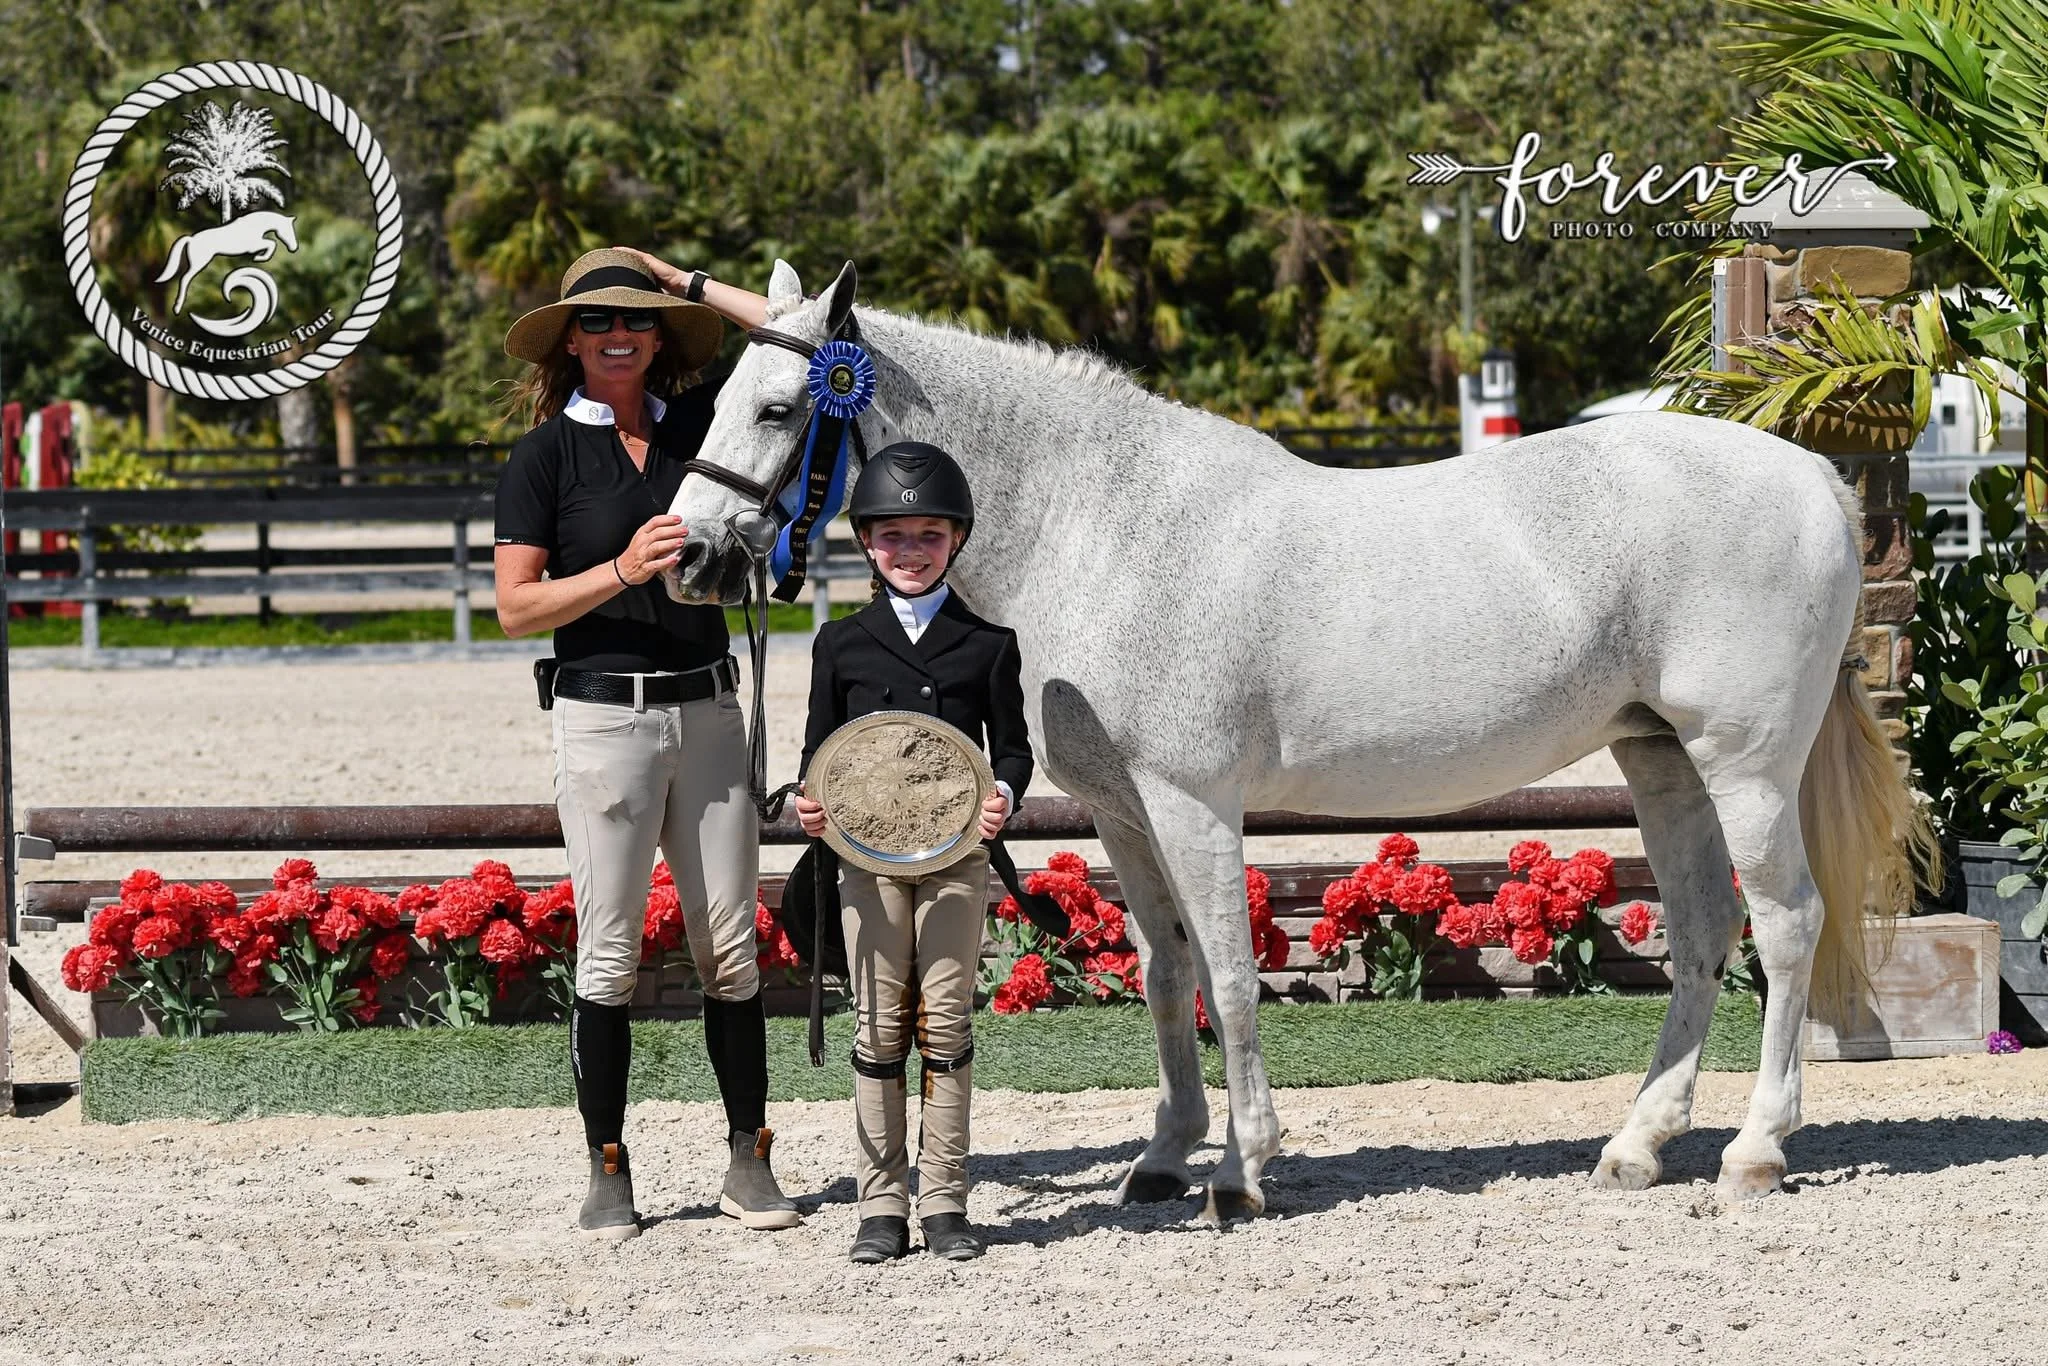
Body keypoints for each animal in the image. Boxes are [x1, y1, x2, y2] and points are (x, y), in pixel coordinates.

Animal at [156, 211, 298, 314]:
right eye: (289, 231)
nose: (294, 248)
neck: (252, 226)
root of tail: (191, 239)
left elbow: (271, 243)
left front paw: (260, 257)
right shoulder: (253, 246)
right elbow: (272, 243)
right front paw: (260, 257)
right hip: (199, 263)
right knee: (185, 278)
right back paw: (177, 307)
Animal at [667, 260, 1933, 1221]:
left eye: (778, 408)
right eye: (718, 398)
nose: (690, 558)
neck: (1106, 525)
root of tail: (1812, 476)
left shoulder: (1190, 799)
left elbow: (1229, 973)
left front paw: (1241, 1170)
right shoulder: (1122, 809)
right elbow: (1166, 968)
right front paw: (1162, 1156)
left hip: (1744, 763)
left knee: (1784, 921)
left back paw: (1754, 1151)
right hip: (1656, 756)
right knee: (1704, 922)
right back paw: (1636, 1145)